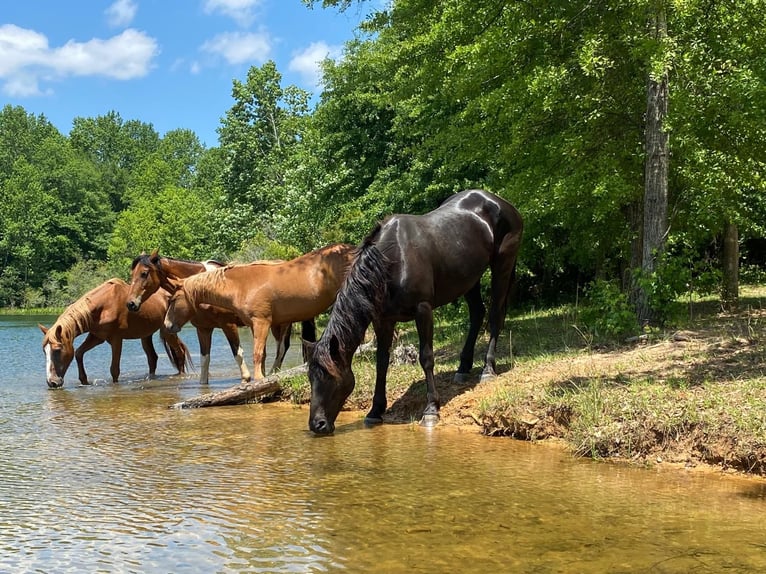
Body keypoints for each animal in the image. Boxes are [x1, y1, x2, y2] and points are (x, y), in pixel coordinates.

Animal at [39, 279, 192, 388]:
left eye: (57, 350)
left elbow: (114, 369)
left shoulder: (116, 339)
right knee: (152, 358)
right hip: (146, 335)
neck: (102, 306)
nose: (51, 382)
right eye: (44, 351)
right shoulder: (96, 337)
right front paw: (84, 381)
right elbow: (78, 353)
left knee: (179, 353)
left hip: (168, 331)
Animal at [127, 250, 314, 384]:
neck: (204, 287)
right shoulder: (203, 329)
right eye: (132, 273)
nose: (130, 303)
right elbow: (205, 359)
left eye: (144, 273)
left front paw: (246, 378)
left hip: (280, 324)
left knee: (281, 349)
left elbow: (237, 351)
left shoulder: (228, 325)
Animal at [163, 243, 356, 381]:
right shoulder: (253, 325)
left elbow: (256, 353)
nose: (167, 325)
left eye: (173, 299)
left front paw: (258, 378)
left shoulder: (260, 322)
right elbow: (261, 354)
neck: (241, 285)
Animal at [306, 189, 523, 434]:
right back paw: (463, 367)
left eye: (329, 376)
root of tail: (502, 203)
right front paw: (375, 411)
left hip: (503, 265)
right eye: (310, 377)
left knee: (495, 315)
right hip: (469, 278)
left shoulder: (423, 310)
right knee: (477, 313)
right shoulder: (383, 320)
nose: (317, 425)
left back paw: (488, 369)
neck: (392, 260)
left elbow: (426, 357)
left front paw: (431, 410)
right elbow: (382, 362)